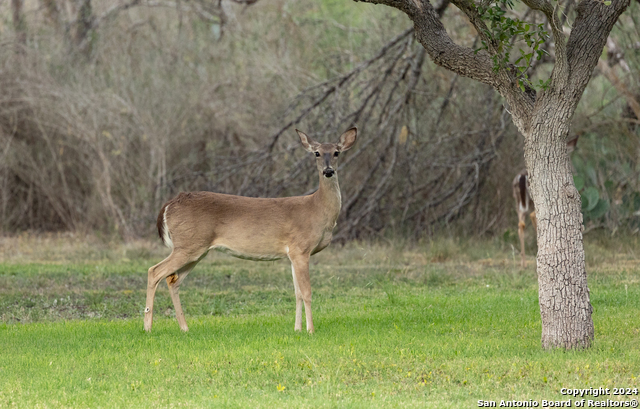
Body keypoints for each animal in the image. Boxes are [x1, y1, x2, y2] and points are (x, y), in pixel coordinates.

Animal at [142, 126, 358, 332]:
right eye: (317, 153)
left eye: (337, 152)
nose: (328, 171)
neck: (317, 209)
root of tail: (169, 204)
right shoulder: (301, 248)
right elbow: (307, 292)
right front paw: (310, 330)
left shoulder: (293, 254)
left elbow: (296, 292)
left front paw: (297, 329)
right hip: (188, 245)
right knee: (154, 271)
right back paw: (148, 327)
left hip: (197, 250)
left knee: (173, 280)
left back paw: (184, 328)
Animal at [512, 135, 576, 266]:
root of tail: (522, 177)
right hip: (535, 198)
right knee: (532, 216)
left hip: (518, 200)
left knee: (520, 224)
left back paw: (523, 263)